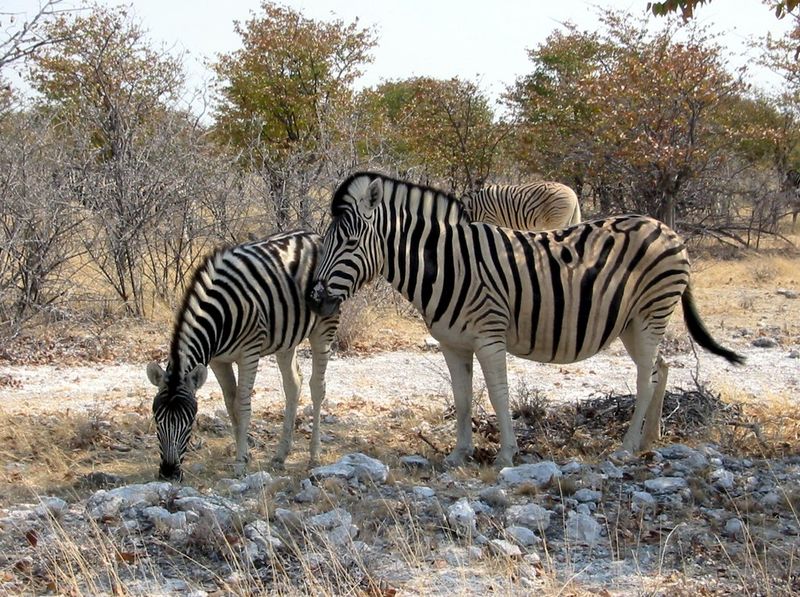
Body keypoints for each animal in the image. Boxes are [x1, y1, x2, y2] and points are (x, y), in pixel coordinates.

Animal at [146, 230, 338, 481]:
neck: (218, 315)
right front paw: (242, 455)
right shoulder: (218, 361)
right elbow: (231, 405)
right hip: (286, 339)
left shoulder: (249, 352)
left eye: (189, 421)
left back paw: (314, 456)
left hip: (324, 327)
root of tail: (314, 235)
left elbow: (243, 405)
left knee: (317, 387)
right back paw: (281, 455)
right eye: (156, 420)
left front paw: (241, 462)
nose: (168, 473)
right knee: (293, 385)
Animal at [308, 172, 744, 468]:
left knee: (646, 377)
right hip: (633, 322)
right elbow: (462, 398)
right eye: (326, 242)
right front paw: (459, 454)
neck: (448, 265)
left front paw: (506, 454)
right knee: (660, 368)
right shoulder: (452, 343)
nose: (314, 300)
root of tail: (669, 230)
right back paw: (650, 438)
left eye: (349, 242)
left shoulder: (489, 337)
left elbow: (498, 395)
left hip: (651, 310)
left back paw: (625, 447)